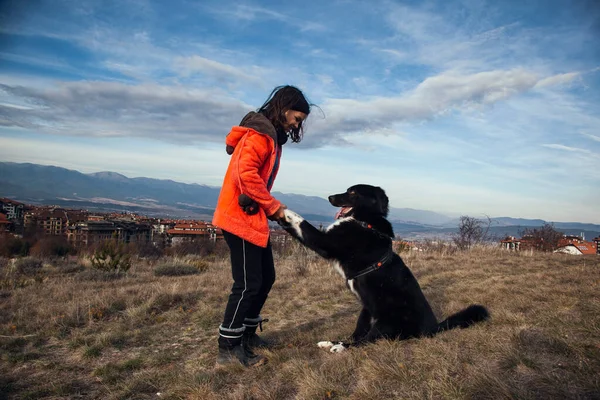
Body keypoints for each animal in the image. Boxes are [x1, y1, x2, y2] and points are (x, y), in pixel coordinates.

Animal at [278, 184, 490, 354]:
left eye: (352, 192)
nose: (330, 197)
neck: (365, 222)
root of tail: (434, 328)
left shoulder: (325, 242)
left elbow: (302, 223)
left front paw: (284, 211)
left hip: (384, 322)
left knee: (364, 342)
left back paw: (340, 348)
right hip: (366, 312)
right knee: (357, 336)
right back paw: (331, 342)